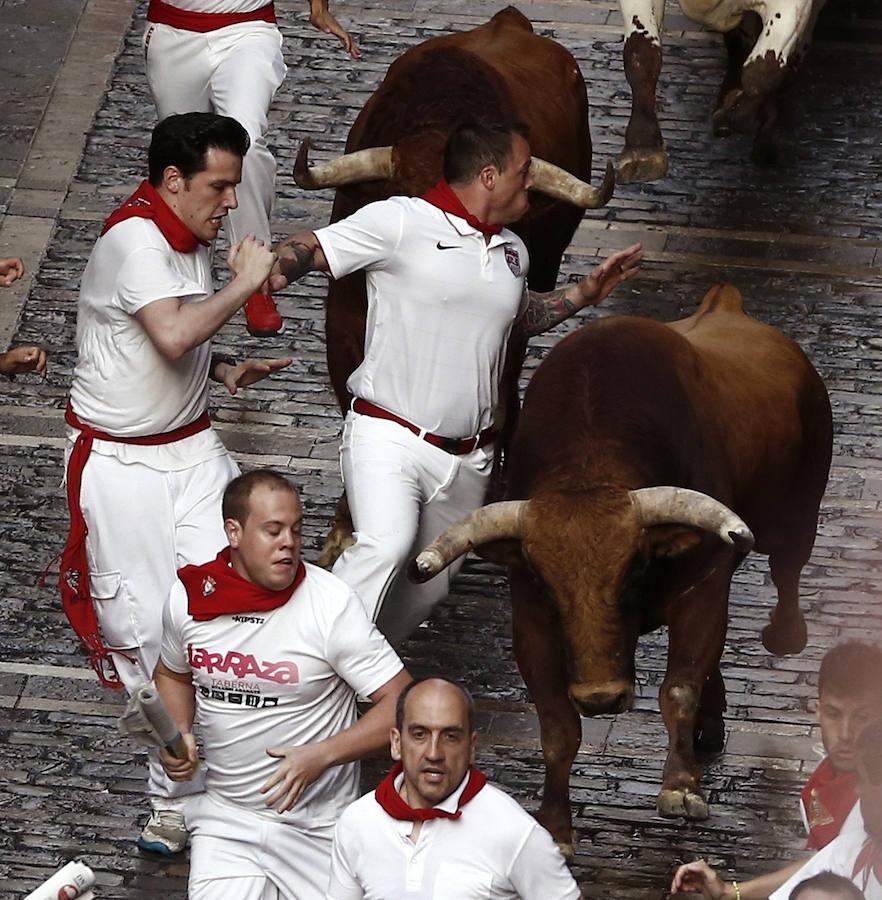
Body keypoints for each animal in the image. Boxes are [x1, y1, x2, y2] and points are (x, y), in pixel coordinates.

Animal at [410, 286, 828, 852]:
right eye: (547, 582)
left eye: (635, 568)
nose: (602, 697)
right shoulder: (531, 618)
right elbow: (557, 727)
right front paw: (556, 827)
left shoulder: (705, 584)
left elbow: (679, 686)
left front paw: (681, 787)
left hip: (798, 513)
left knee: (788, 569)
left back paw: (784, 634)